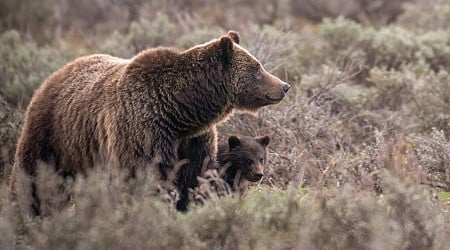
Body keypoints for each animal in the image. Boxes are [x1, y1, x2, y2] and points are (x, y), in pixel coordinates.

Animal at [11, 30, 292, 215]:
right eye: (257, 68)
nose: (284, 86)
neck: (182, 111)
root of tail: (56, 73)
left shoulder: (193, 141)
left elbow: (193, 178)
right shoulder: (143, 130)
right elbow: (144, 176)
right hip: (51, 133)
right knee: (34, 177)